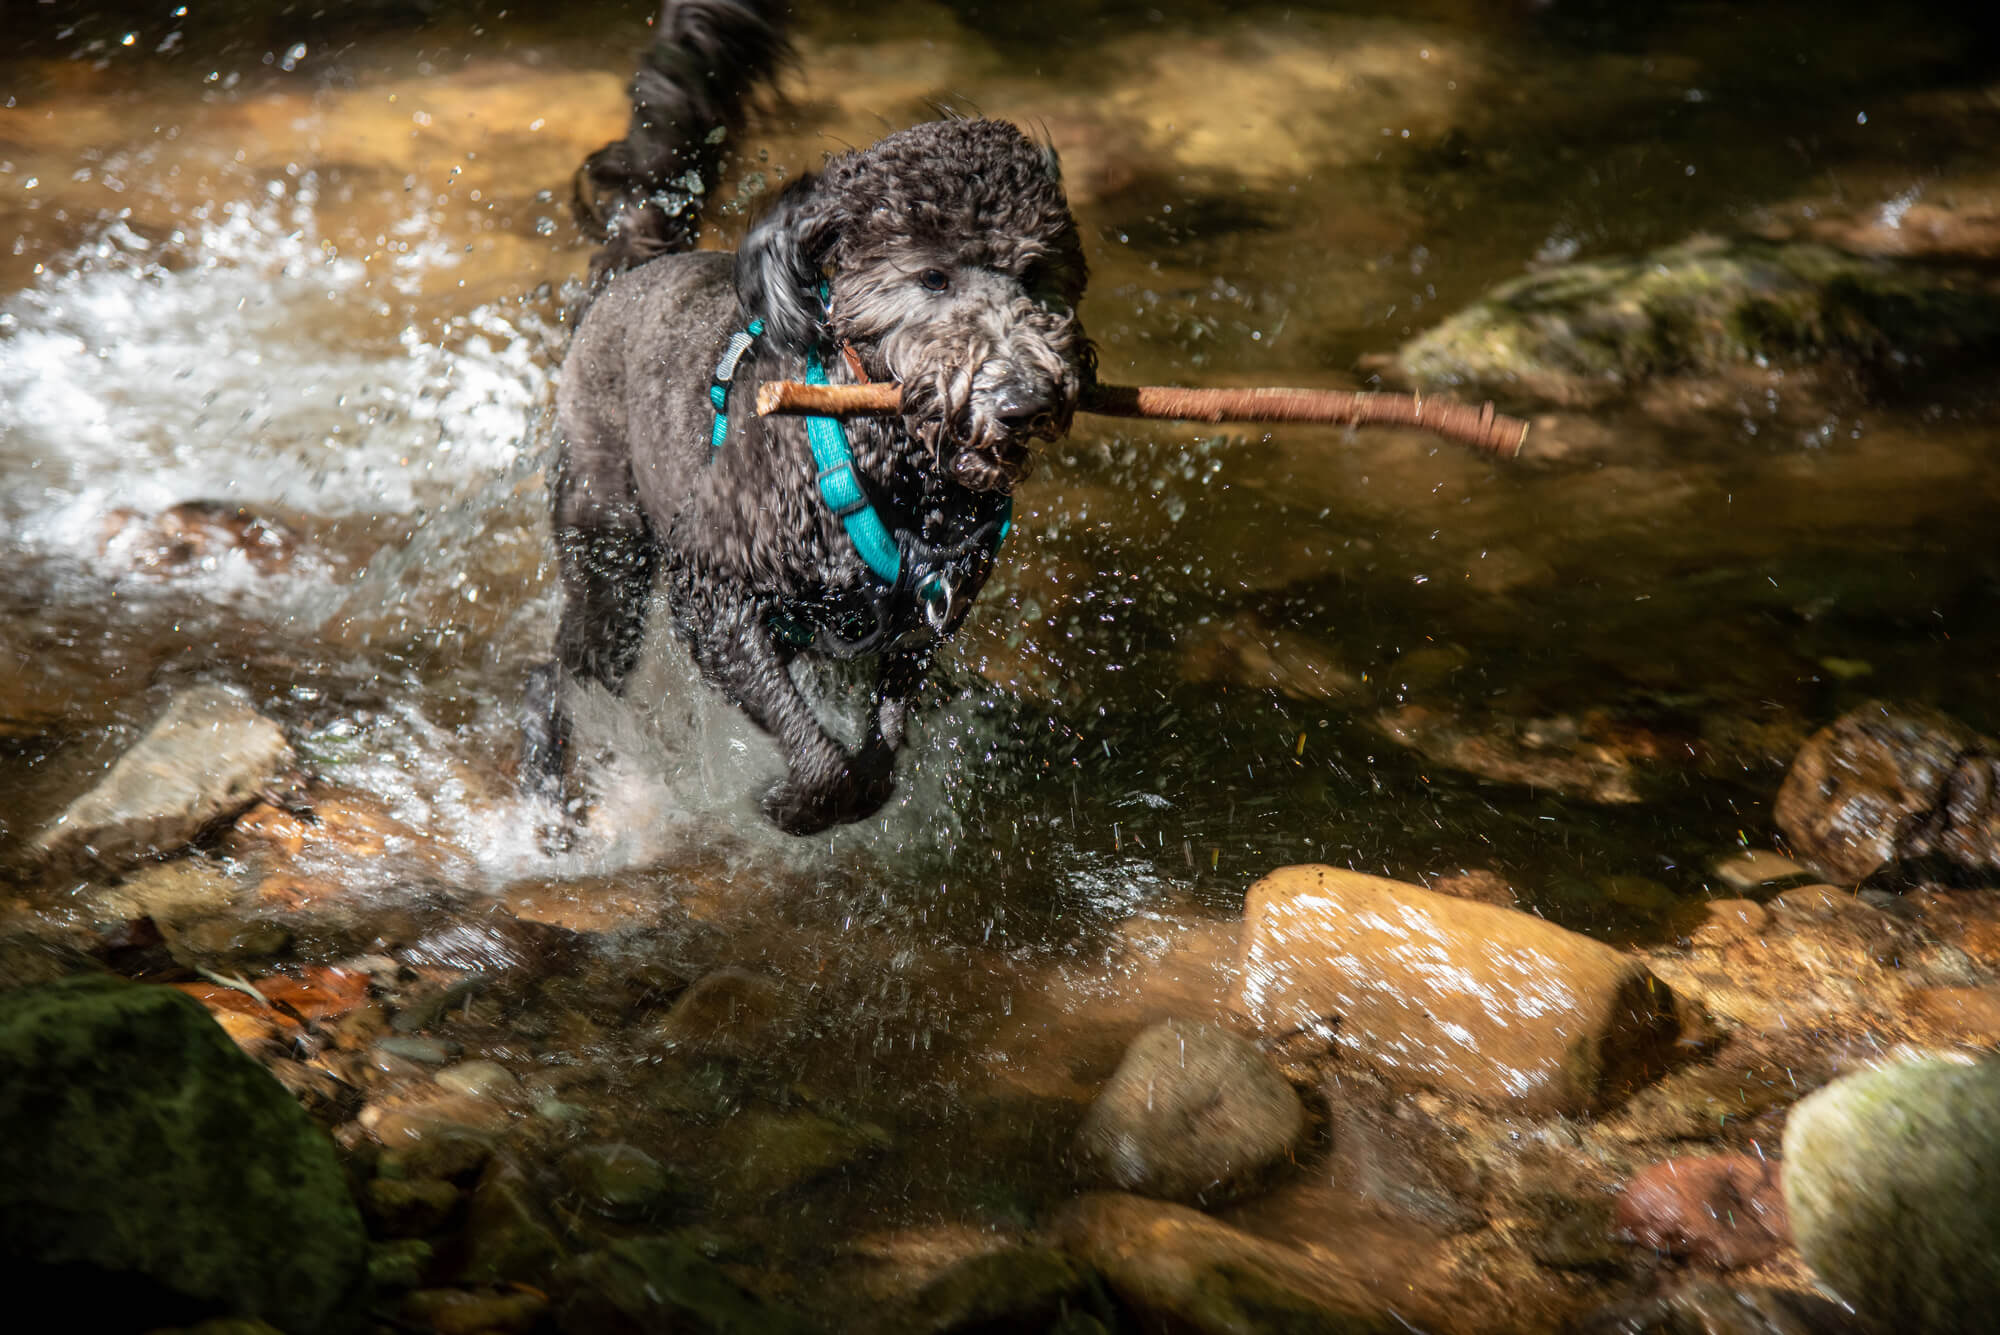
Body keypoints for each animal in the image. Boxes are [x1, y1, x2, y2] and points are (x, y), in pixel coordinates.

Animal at [524, 0, 1096, 835]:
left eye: (1037, 273)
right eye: (932, 276)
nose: (1020, 400)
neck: (898, 471)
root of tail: (634, 271)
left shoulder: (924, 623)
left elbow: (884, 744)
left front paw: (860, 783)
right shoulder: (716, 595)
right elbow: (817, 755)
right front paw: (795, 803)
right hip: (609, 550)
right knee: (555, 677)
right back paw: (547, 800)